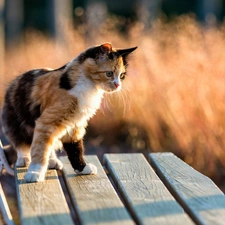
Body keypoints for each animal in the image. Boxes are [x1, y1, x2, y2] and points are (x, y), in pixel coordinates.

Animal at [0, 42, 137, 183]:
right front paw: (35, 172)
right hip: (16, 123)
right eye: (109, 73)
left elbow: (75, 148)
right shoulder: (46, 122)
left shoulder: (76, 124)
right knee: (21, 143)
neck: (88, 87)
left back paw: (52, 161)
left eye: (122, 76)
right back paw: (24, 159)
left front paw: (82, 168)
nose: (118, 85)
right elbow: (40, 149)